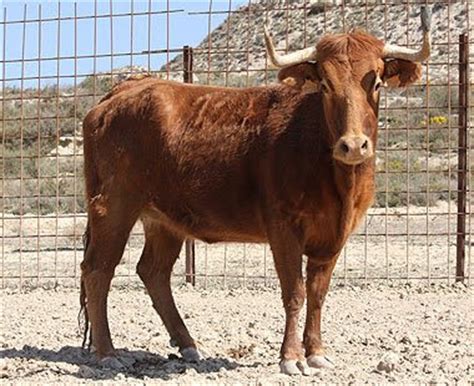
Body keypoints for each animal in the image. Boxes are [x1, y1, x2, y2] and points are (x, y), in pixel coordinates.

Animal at [80, 9, 430, 376]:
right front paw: (290, 358)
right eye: (324, 84)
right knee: (98, 270)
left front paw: (316, 353)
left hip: (163, 219)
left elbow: (318, 294)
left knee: (153, 272)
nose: (353, 145)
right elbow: (295, 292)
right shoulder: (283, 227)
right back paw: (106, 352)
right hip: (113, 207)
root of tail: (126, 89)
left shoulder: (335, 236)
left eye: (376, 83)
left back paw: (188, 345)